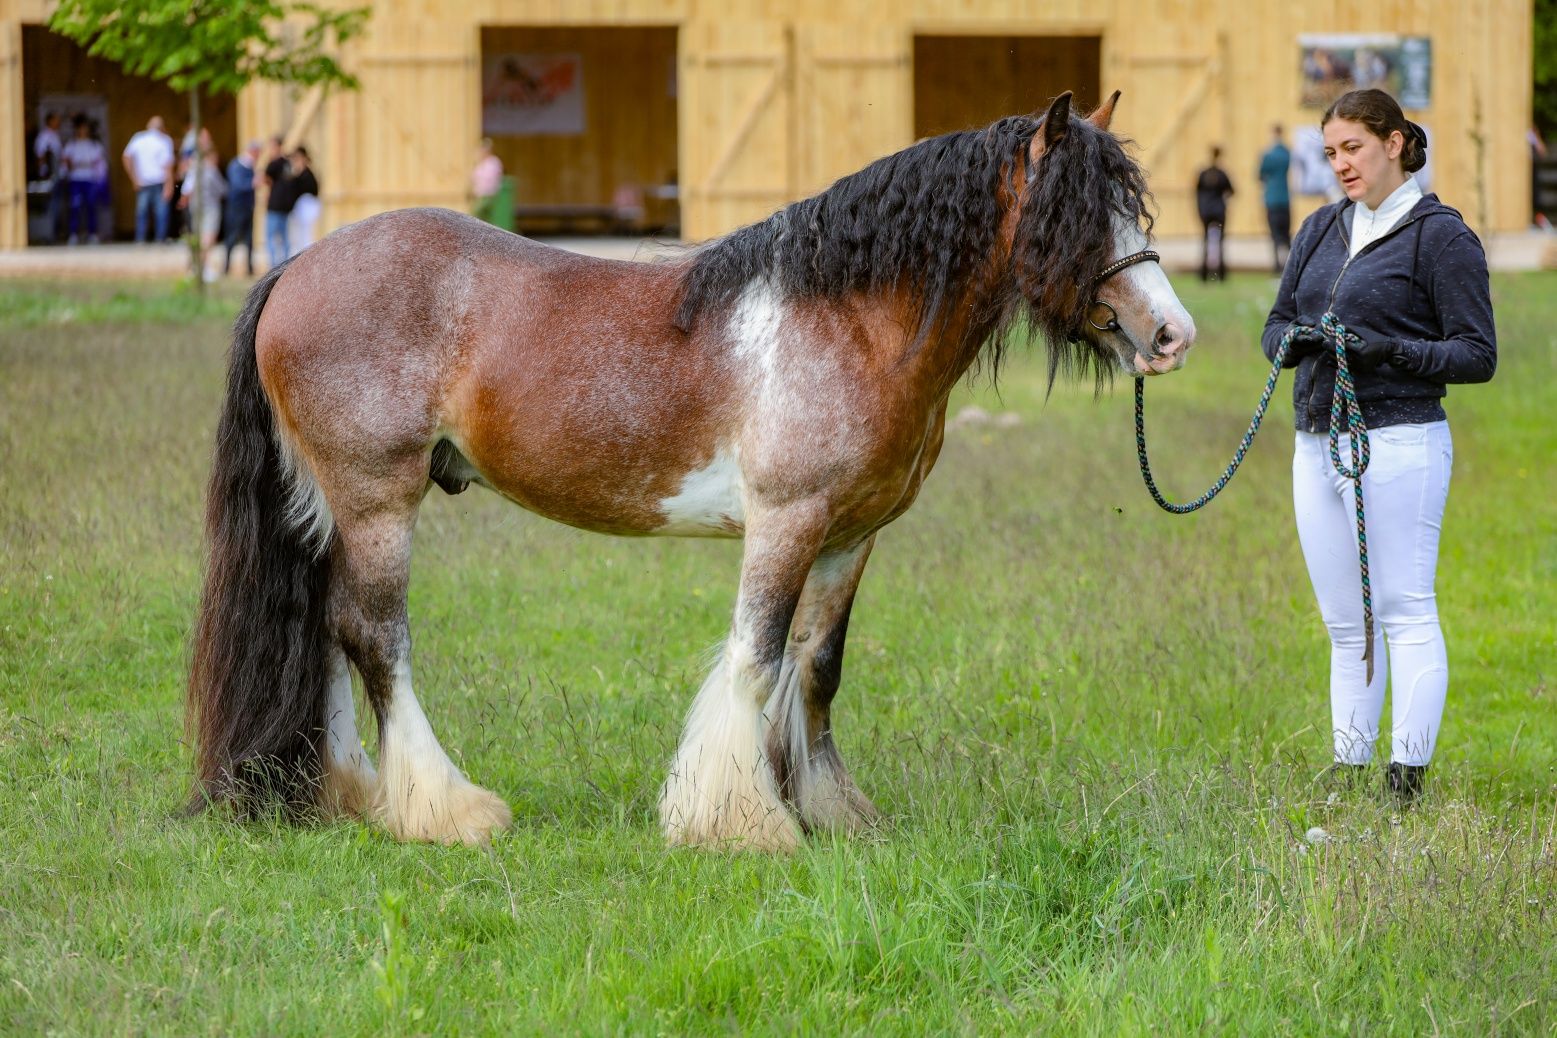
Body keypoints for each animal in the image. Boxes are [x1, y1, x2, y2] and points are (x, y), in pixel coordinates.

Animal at [188, 91, 1195, 852]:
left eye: (1135, 207)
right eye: (1072, 215)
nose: (1170, 335)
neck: (847, 321)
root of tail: (295, 269)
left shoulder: (850, 536)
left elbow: (814, 668)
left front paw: (830, 812)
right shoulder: (786, 521)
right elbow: (755, 656)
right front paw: (740, 823)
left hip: (331, 510)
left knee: (325, 631)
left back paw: (355, 797)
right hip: (376, 501)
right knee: (375, 637)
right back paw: (447, 810)